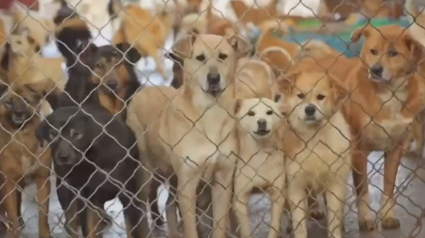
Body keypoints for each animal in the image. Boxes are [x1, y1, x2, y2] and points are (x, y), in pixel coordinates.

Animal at [0, 82, 52, 238]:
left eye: (26, 100)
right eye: (8, 102)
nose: (18, 113)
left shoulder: (43, 180)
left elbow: (43, 215)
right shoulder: (9, 183)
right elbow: (11, 215)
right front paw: (13, 233)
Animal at [35, 106, 151, 238]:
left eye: (77, 134)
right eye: (54, 133)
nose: (63, 157)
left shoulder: (129, 195)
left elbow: (132, 229)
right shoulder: (87, 198)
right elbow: (88, 228)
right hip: (66, 189)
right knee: (71, 224)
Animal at [125, 32, 248, 238]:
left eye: (223, 56)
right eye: (200, 57)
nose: (213, 78)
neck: (210, 113)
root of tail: (144, 90)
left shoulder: (222, 180)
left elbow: (219, 225)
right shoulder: (188, 184)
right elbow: (191, 228)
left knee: (168, 205)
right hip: (145, 173)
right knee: (141, 208)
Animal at [232, 96, 284, 238]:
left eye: (269, 112)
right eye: (251, 113)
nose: (262, 122)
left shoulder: (277, 195)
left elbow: (274, 227)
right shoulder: (240, 199)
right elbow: (245, 231)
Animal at [278, 69, 352, 238]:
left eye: (320, 97)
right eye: (300, 95)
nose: (310, 109)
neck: (315, 139)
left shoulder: (335, 183)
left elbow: (334, 219)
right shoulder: (296, 186)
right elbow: (299, 223)